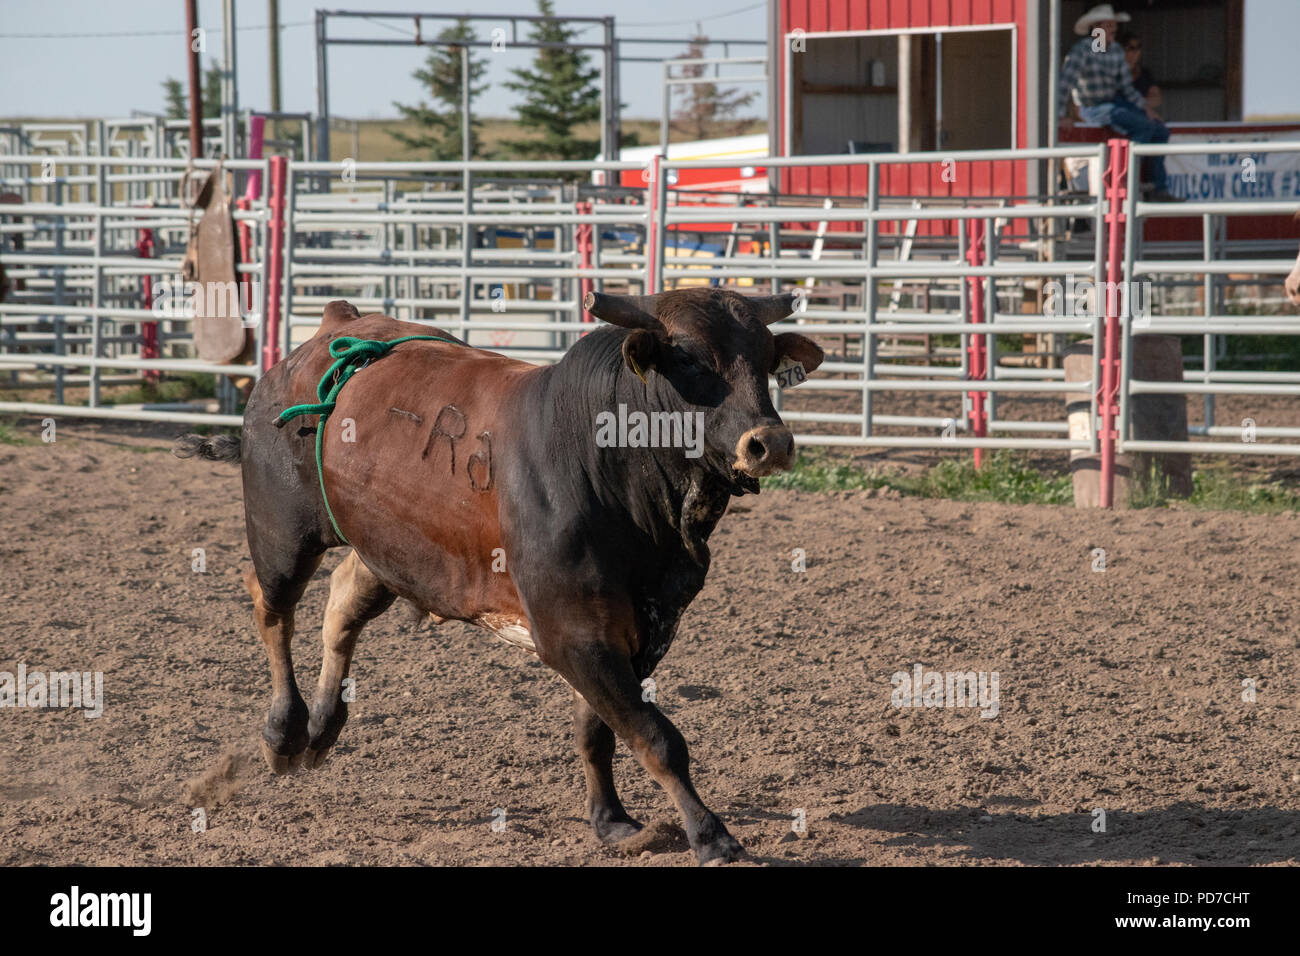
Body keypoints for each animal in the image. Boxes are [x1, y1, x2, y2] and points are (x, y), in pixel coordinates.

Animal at [175, 287, 824, 864]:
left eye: (765, 357)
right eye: (688, 357)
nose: (770, 443)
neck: (603, 459)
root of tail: (334, 326)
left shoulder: (638, 632)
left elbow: (599, 729)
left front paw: (611, 821)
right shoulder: (571, 635)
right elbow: (656, 737)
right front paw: (712, 836)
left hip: (388, 552)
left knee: (341, 605)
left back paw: (323, 726)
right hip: (282, 534)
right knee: (272, 606)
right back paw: (285, 732)